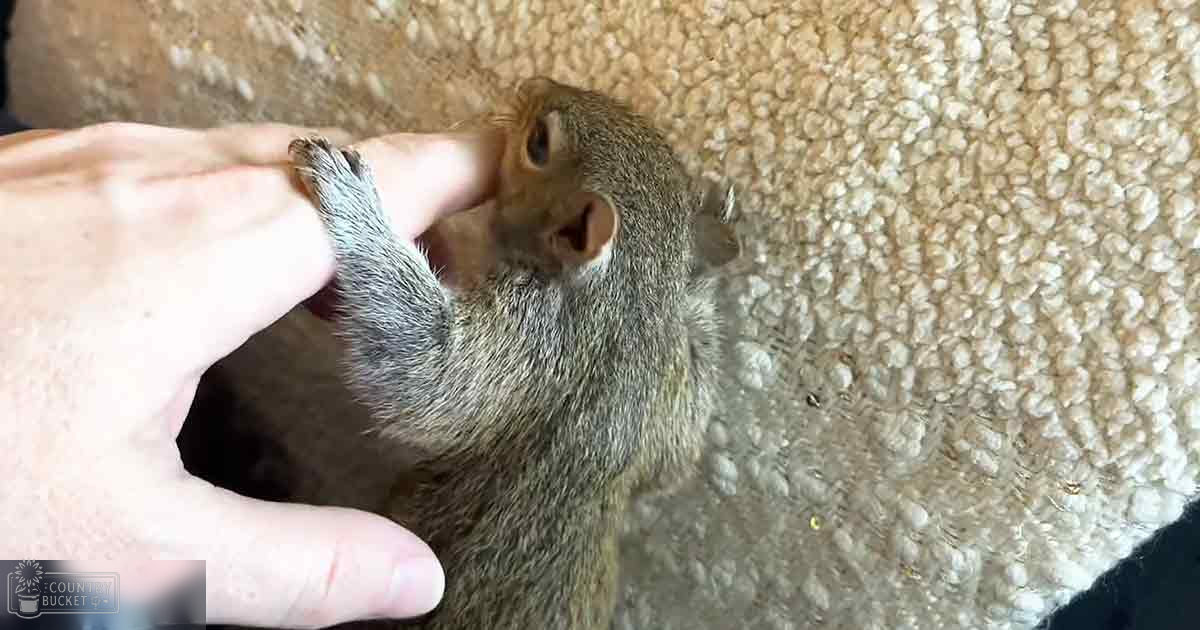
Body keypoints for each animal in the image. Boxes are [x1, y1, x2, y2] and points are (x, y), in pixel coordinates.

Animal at [288, 76, 740, 630]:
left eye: (538, 144)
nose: (532, 83)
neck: (632, 305)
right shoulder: (671, 398)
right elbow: (675, 462)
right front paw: (710, 245)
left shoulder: (538, 338)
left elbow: (428, 377)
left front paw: (351, 197)